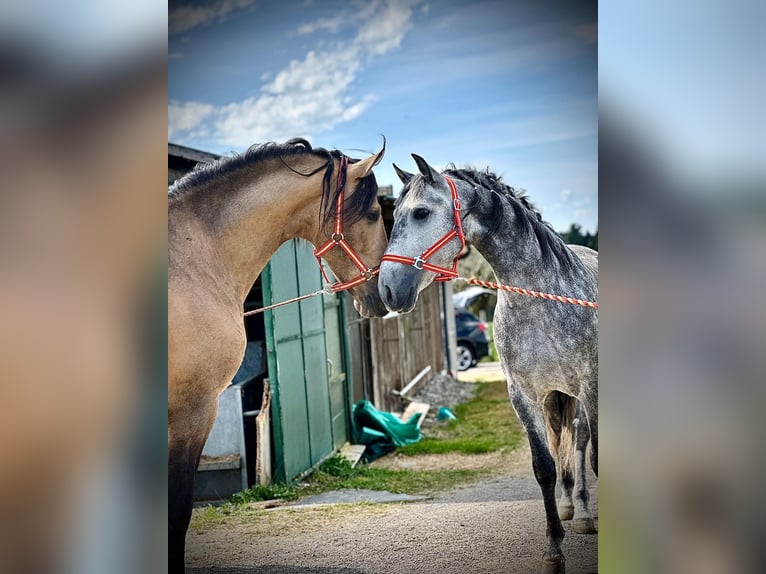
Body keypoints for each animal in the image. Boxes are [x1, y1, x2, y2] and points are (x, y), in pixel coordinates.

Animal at [378, 155, 597, 574]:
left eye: (421, 212)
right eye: (393, 213)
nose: (387, 289)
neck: (539, 298)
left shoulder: (591, 386)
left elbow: (596, 457)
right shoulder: (523, 395)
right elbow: (544, 467)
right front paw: (553, 550)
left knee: (580, 440)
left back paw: (585, 515)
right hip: (556, 396)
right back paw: (568, 507)